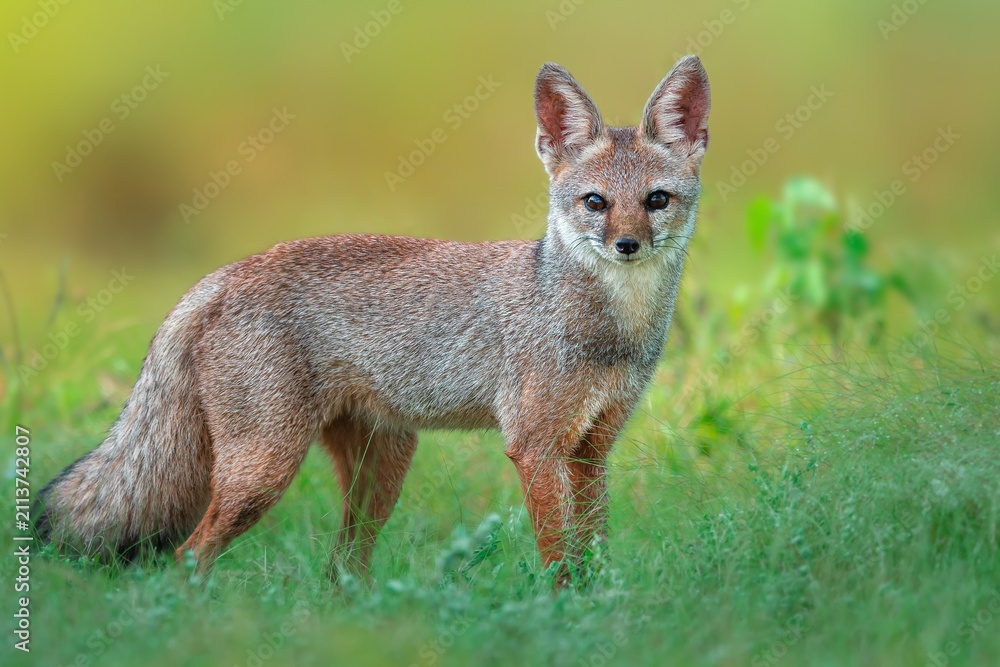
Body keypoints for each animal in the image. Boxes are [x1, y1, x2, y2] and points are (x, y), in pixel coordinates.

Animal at [36, 55, 710, 582]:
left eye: (656, 201)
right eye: (595, 202)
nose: (627, 245)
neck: (611, 330)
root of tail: (225, 273)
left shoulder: (591, 450)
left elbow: (596, 553)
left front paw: (602, 611)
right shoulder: (535, 446)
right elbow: (560, 560)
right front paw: (561, 617)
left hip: (379, 473)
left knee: (340, 573)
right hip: (263, 473)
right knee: (188, 558)